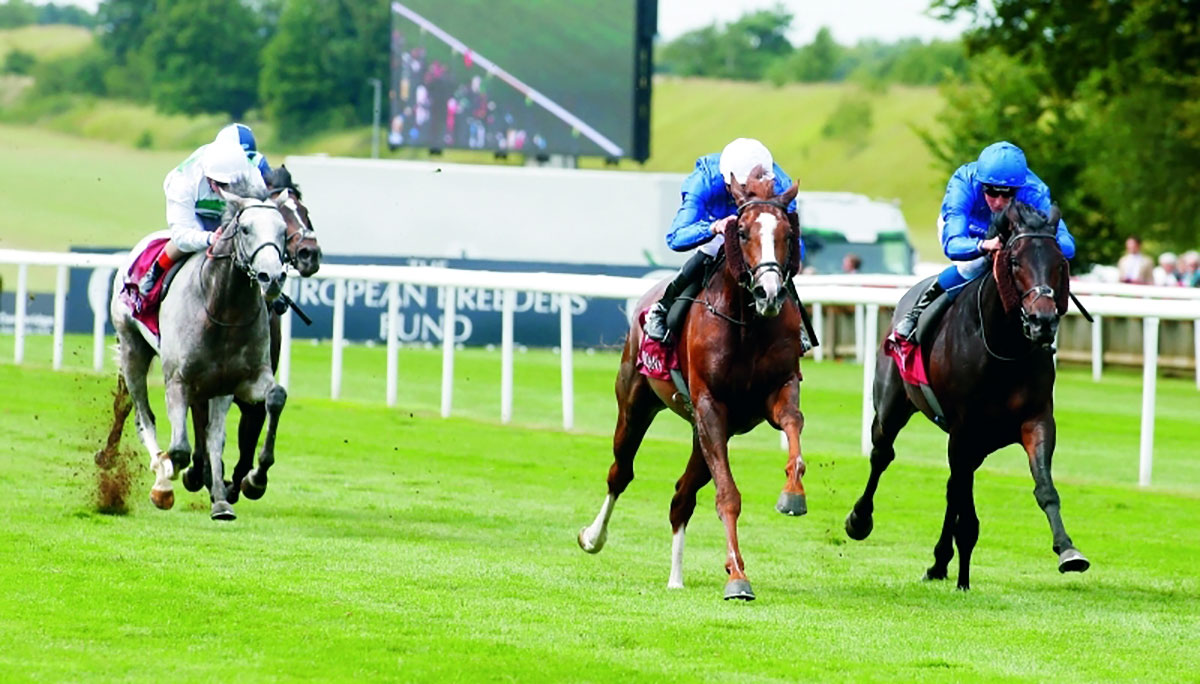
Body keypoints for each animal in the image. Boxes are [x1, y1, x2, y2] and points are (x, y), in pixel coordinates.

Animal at [99, 180, 290, 516]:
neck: (225, 309)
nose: (273, 277)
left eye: (283, 231)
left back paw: (220, 499)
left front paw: (254, 480)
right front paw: (167, 479)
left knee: (212, 435)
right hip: (133, 350)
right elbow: (178, 450)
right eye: (245, 229)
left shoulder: (243, 380)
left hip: (215, 387)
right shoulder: (179, 380)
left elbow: (274, 399)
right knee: (142, 415)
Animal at [578, 172, 806, 600]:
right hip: (636, 404)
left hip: (706, 434)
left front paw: (793, 493)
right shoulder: (709, 406)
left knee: (681, 497)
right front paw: (737, 577)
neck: (747, 325)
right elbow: (727, 496)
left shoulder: (775, 392)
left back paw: (676, 577)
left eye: (787, 233)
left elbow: (793, 424)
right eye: (743, 232)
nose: (769, 293)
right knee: (620, 472)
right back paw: (593, 537)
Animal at [844, 199, 1089, 588]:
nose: (1042, 321)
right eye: (1014, 261)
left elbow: (1044, 488)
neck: (1003, 349)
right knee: (882, 455)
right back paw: (860, 520)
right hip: (892, 408)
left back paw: (940, 563)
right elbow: (965, 510)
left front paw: (1068, 550)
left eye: (1060, 264)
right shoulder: (964, 430)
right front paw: (961, 575)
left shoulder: (1035, 420)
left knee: (952, 486)